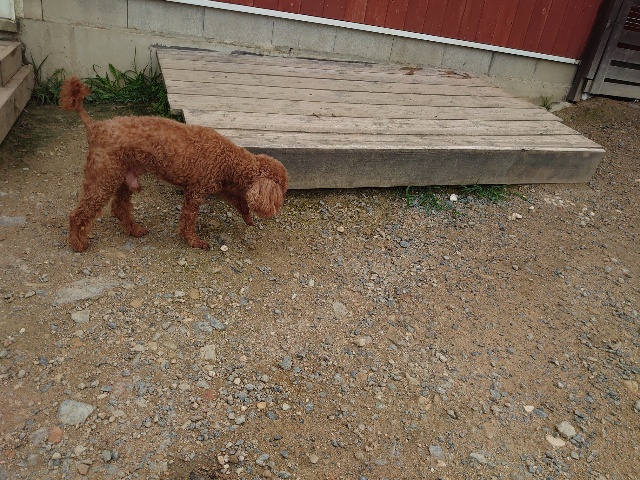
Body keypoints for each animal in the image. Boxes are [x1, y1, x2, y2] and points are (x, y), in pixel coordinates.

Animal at [59, 77, 288, 251]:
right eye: (282, 191)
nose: (279, 208)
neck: (228, 159)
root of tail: (95, 126)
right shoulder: (196, 192)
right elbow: (188, 220)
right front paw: (194, 242)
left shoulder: (222, 186)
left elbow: (238, 200)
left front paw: (248, 218)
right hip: (104, 178)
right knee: (78, 213)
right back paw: (77, 243)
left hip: (125, 177)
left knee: (119, 207)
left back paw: (135, 230)